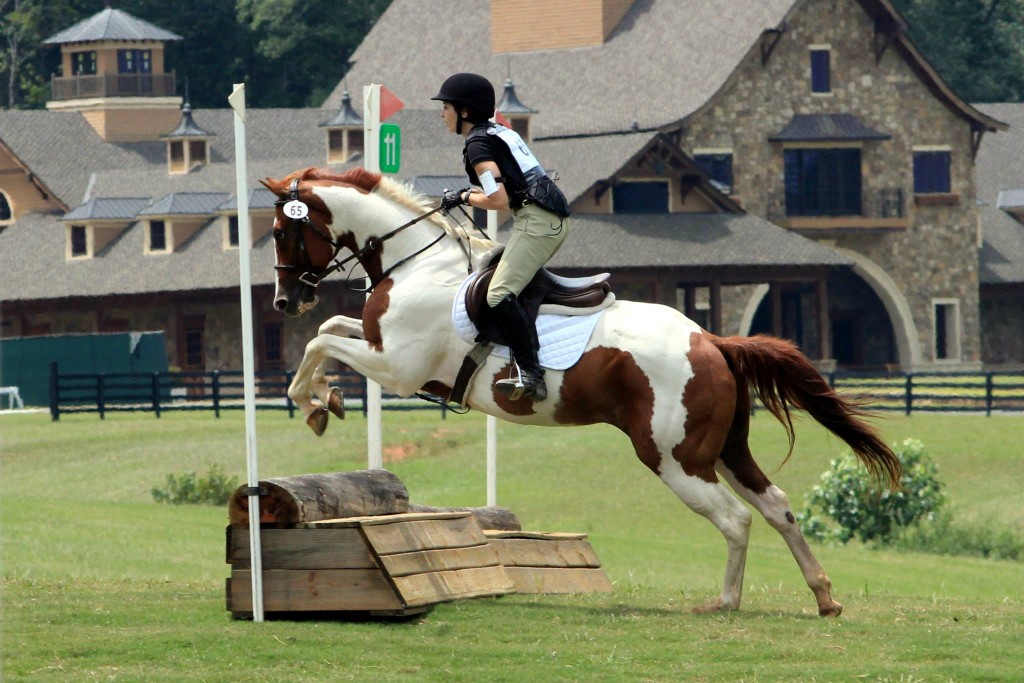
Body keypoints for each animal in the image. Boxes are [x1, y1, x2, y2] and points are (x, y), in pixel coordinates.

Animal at [260, 166, 901, 618]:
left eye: (281, 232)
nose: (285, 302)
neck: (416, 265)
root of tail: (710, 341)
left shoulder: (397, 368)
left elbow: (319, 342)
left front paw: (315, 404)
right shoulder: (381, 347)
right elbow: (330, 329)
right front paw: (325, 398)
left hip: (675, 458)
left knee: (735, 518)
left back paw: (725, 602)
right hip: (725, 448)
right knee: (778, 507)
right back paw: (824, 596)